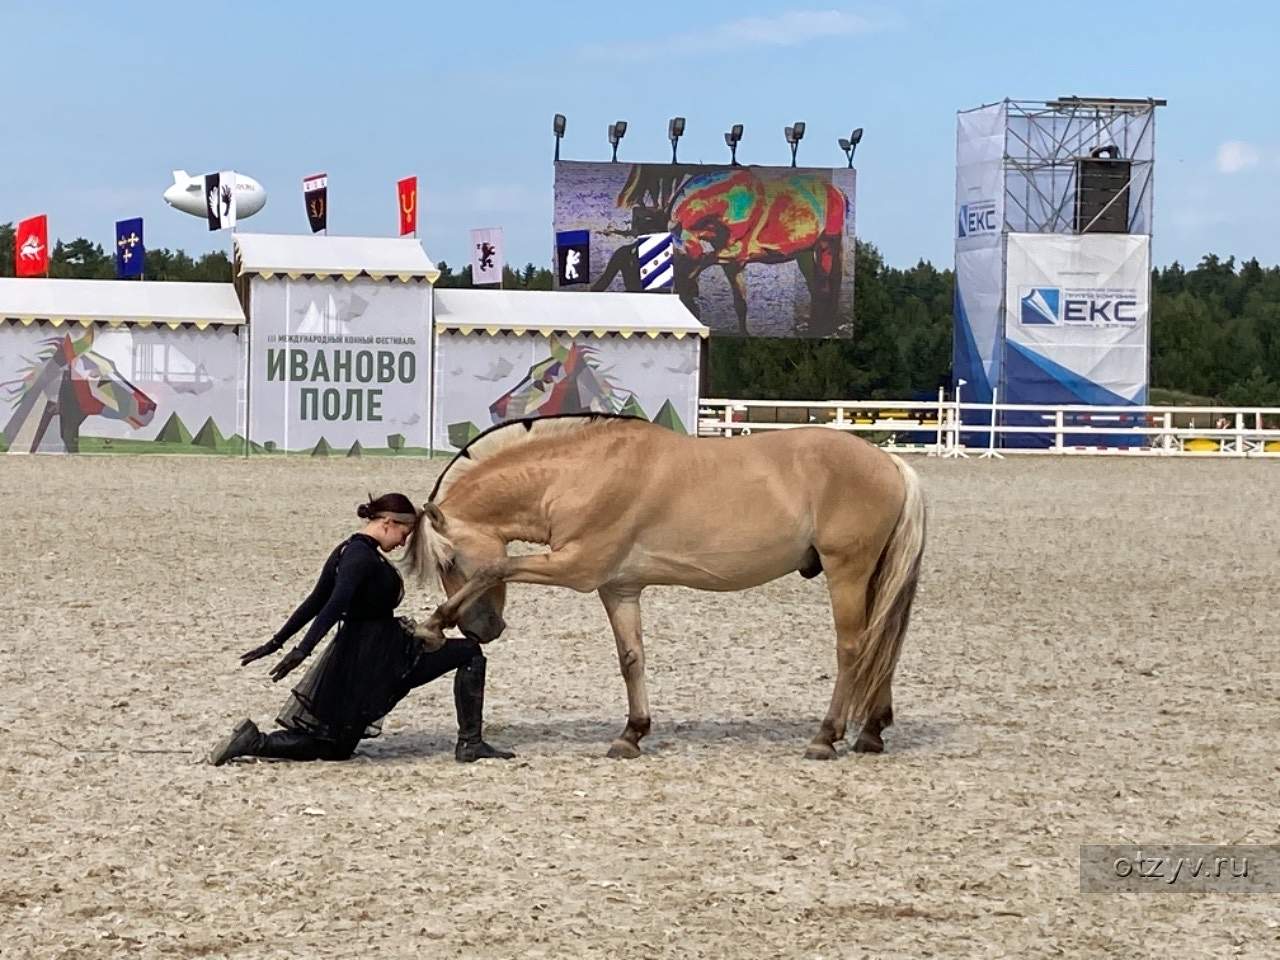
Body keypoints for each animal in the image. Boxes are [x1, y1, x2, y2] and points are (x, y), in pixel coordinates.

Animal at [414, 417, 926, 762]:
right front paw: (632, 734)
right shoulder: (618, 588)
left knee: (853, 648)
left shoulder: (576, 568)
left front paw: (431, 627)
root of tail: (890, 462)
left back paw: (826, 737)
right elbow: (631, 658)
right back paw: (871, 732)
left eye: (449, 561)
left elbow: (495, 569)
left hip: (848, 573)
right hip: (873, 577)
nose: (483, 631)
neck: (581, 474)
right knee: (883, 646)